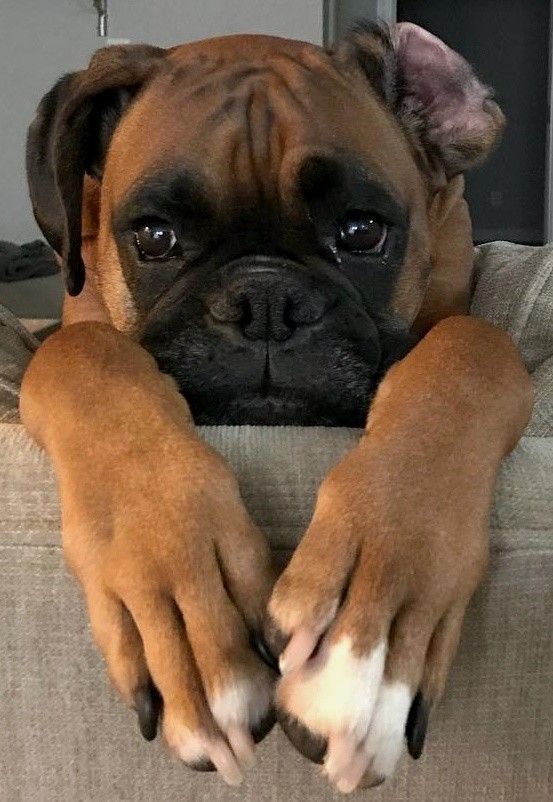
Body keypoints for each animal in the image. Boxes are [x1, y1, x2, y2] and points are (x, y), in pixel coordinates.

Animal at [20, 21, 532, 792]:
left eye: (361, 232)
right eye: (156, 237)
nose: (264, 301)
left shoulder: (460, 312)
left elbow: (472, 346)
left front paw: (369, 634)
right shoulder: (77, 333)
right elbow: (84, 353)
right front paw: (179, 590)